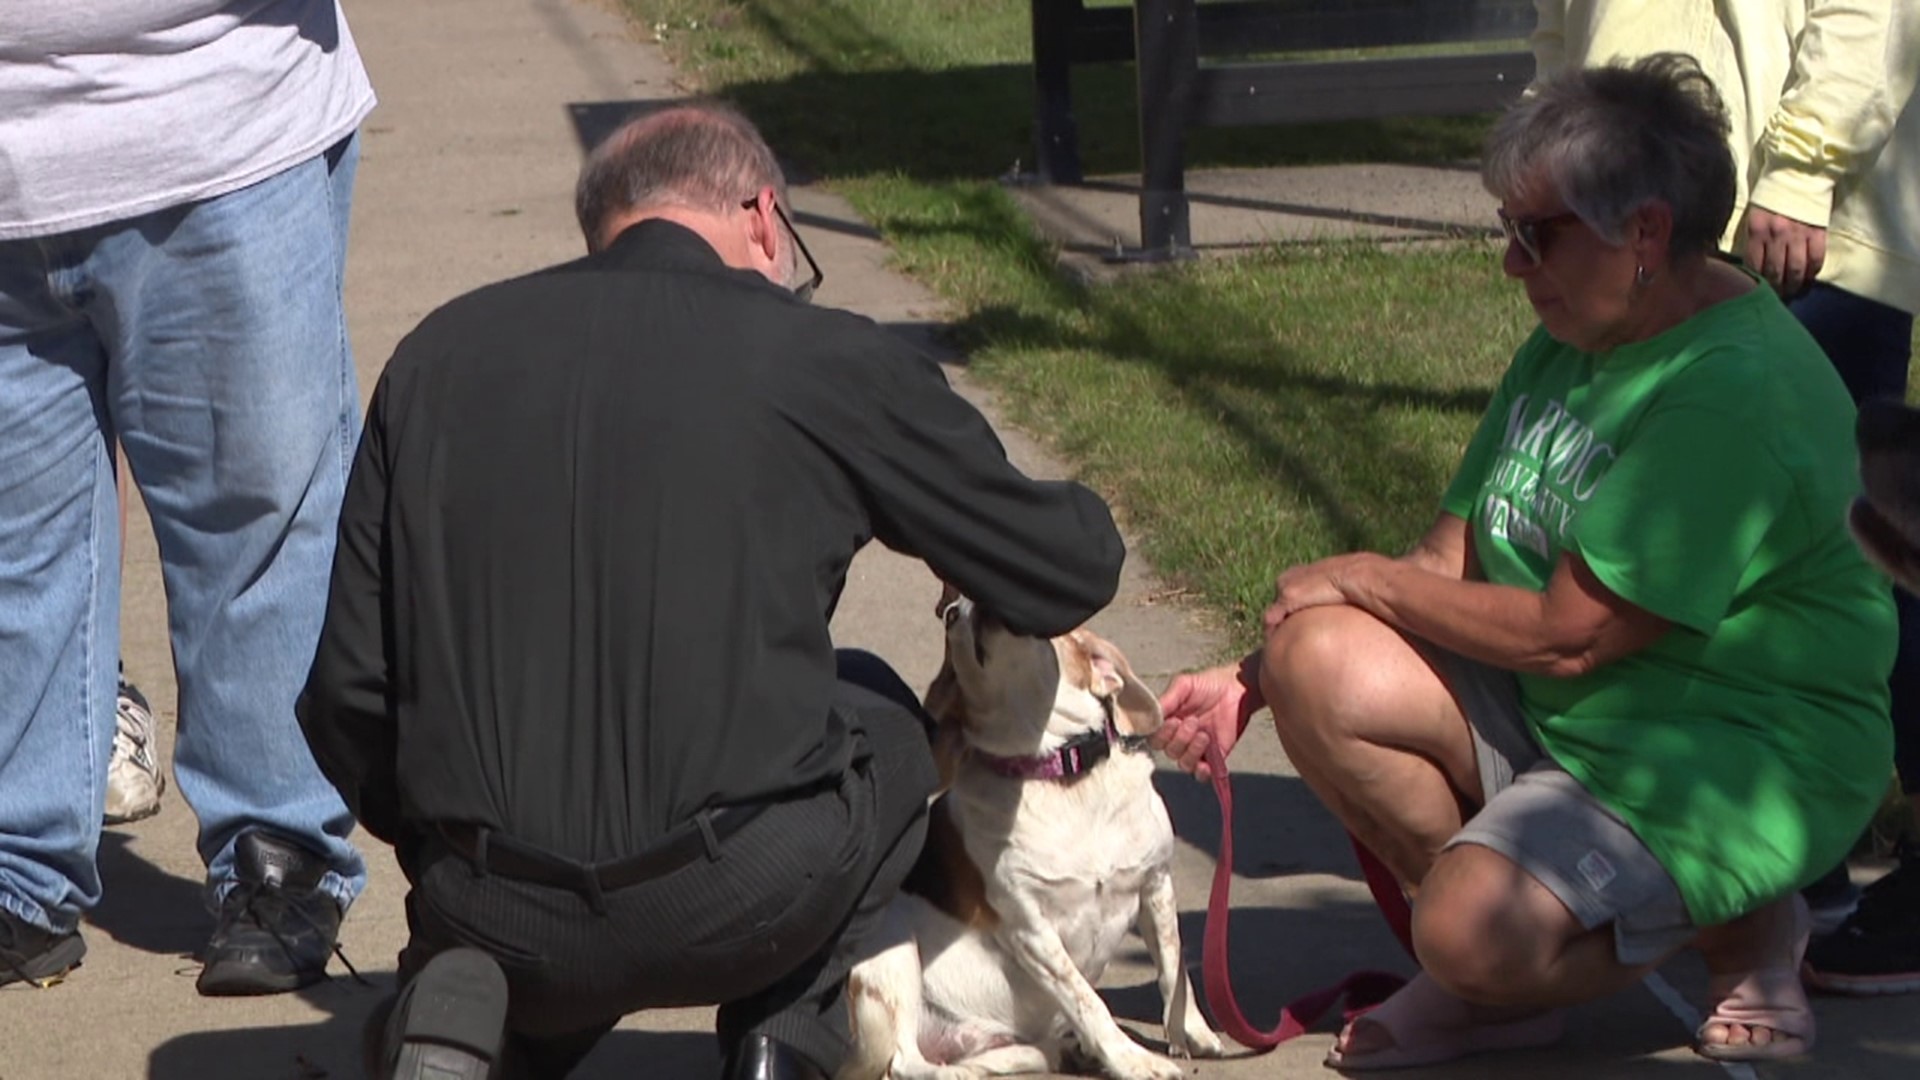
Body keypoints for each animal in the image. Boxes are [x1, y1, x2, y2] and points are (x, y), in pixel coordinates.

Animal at [840, 591, 1228, 1068]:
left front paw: (1190, 1031)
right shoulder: (1031, 929)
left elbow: (1175, 972)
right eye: (951, 616)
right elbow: (1087, 1000)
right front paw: (1132, 1060)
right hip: (891, 951)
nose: (976, 598)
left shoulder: (1157, 884)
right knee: (907, 1063)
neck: (1063, 775)